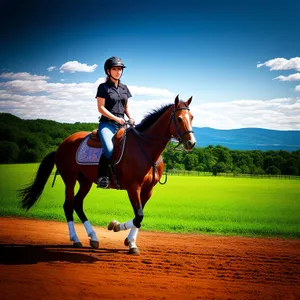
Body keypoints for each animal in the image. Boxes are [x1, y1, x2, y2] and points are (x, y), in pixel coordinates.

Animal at [18, 95, 197, 254]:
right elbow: (138, 215)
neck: (145, 148)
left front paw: (129, 241)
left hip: (85, 181)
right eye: (179, 119)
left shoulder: (148, 190)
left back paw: (93, 237)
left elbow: (139, 217)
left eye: (192, 117)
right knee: (68, 206)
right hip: (69, 179)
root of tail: (62, 145)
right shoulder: (133, 188)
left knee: (77, 203)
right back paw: (76, 239)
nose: (191, 143)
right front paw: (117, 227)